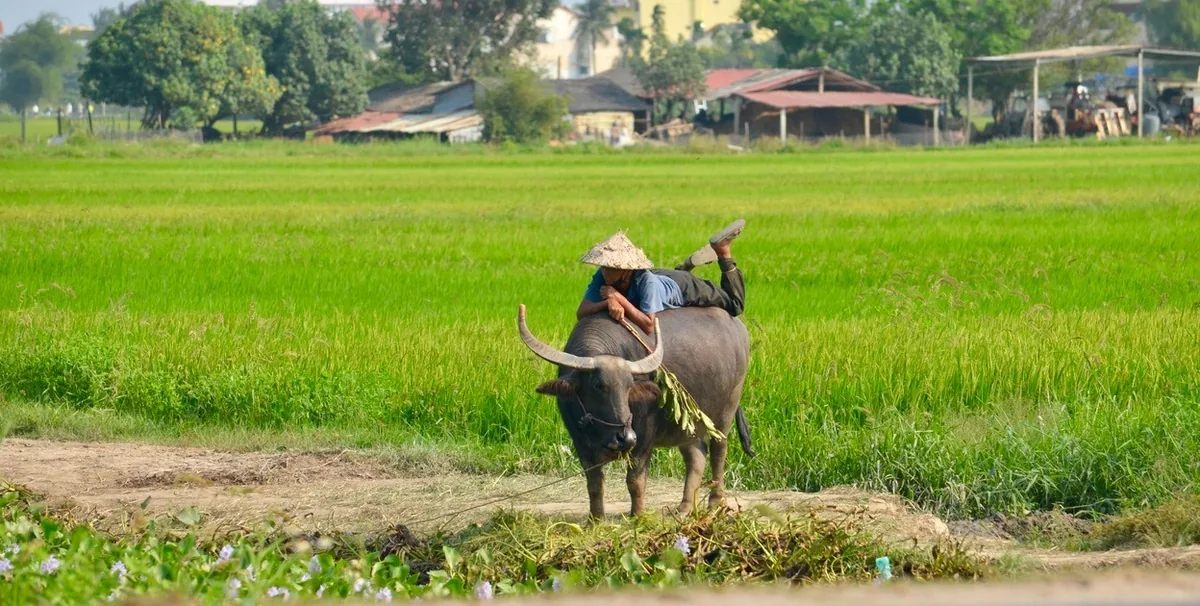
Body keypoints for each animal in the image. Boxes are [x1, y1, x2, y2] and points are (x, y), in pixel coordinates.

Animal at [518, 303, 754, 518]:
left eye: (629, 386)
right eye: (598, 385)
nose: (626, 438)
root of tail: (739, 328)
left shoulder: (644, 437)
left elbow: (635, 480)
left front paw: (637, 516)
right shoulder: (580, 441)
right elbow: (594, 483)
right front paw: (596, 520)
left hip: (726, 411)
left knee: (718, 452)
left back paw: (715, 502)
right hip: (687, 426)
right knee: (696, 458)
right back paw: (685, 508)